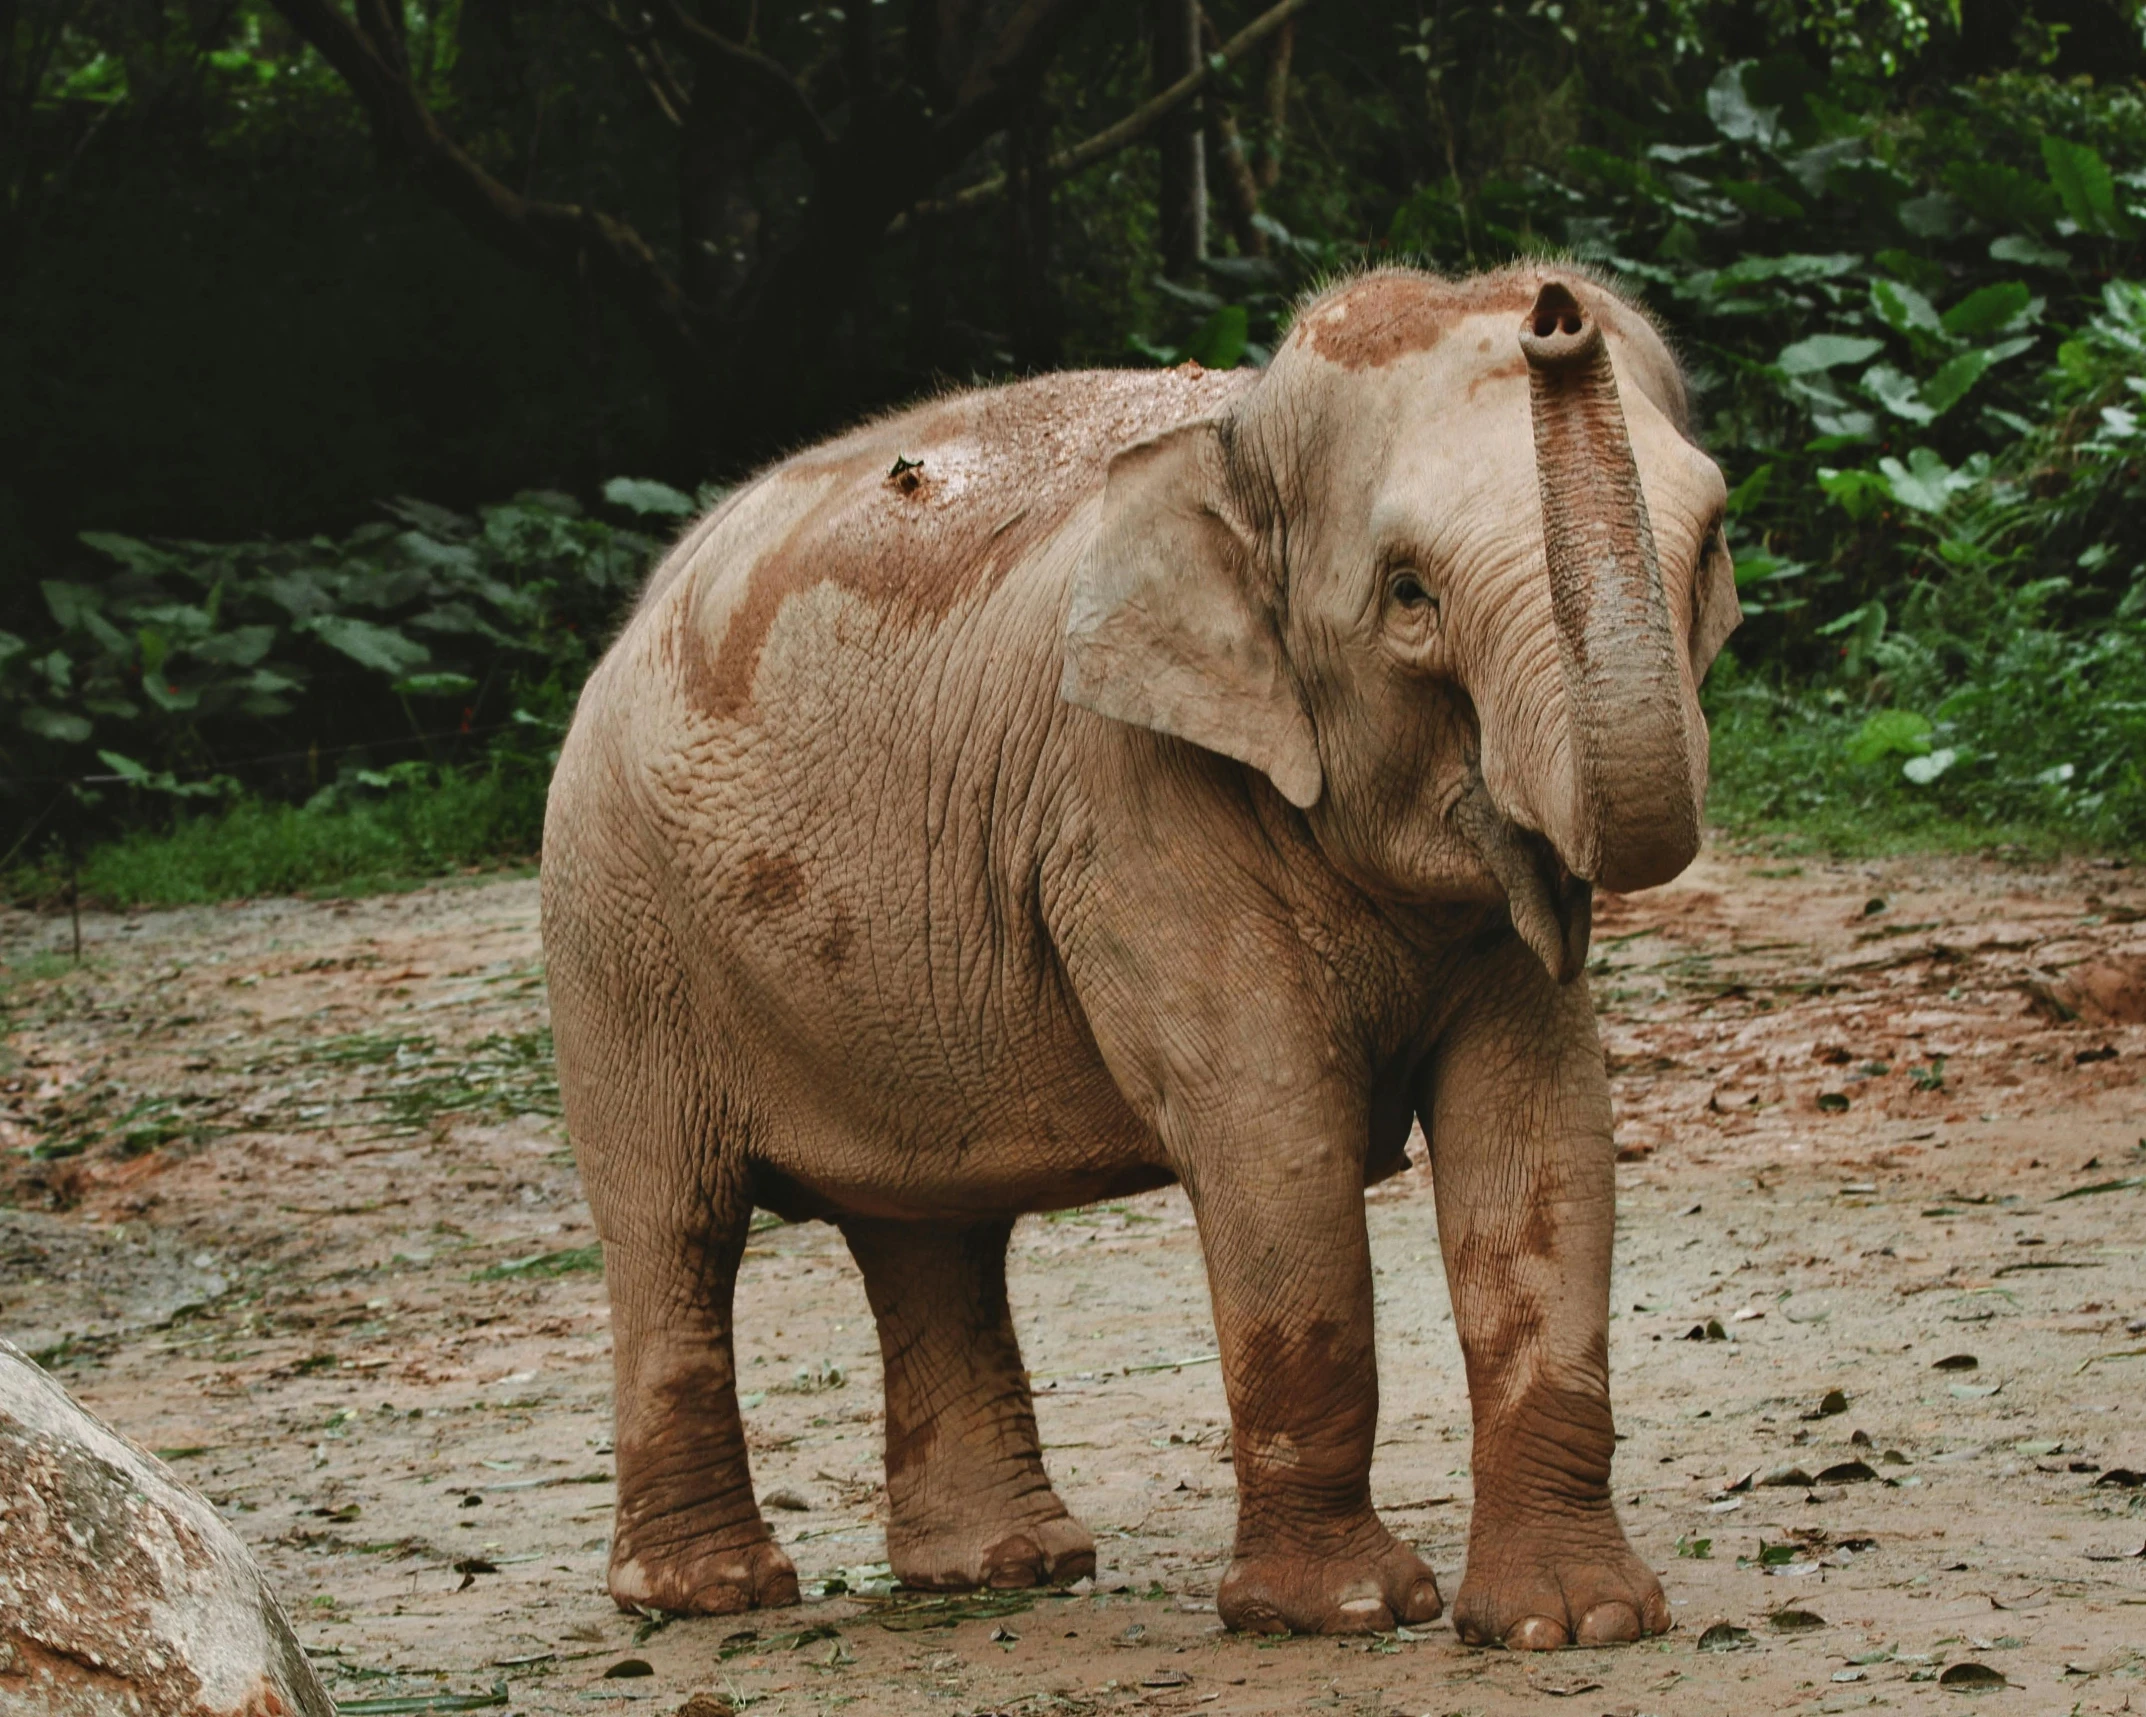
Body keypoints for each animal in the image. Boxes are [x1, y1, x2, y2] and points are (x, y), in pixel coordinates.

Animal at [545, 265, 1733, 1648]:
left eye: (1712, 547)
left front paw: (1571, 1624)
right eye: (1408, 597)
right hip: (613, 932)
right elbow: (1272, 1133)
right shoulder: (1125, 803)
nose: (1552, 307)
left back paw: (1002, 1569)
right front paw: (1335, 1613)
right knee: (672, 1225)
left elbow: (1539, 1128)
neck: (1237, 432)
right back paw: (710, 1595)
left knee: (926, 1232)